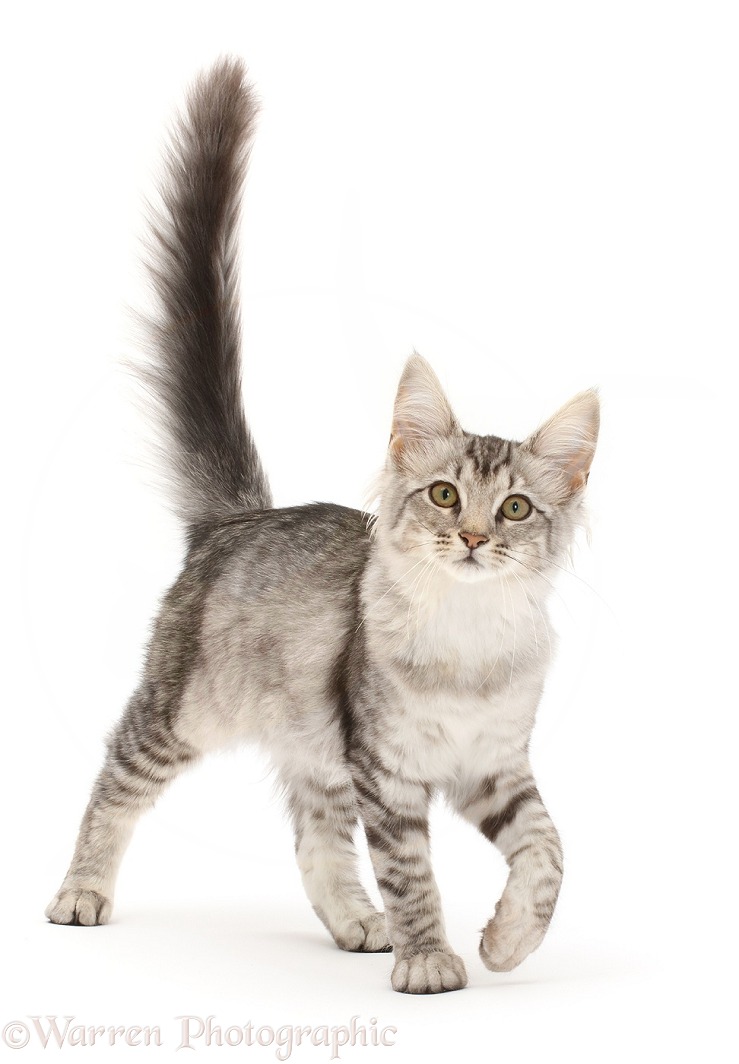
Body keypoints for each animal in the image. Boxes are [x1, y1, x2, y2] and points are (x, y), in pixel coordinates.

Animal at [46, 56, 599, 995]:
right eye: (444, 496)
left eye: (516, 508)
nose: (473, 540)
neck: (467, 639)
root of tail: (241, 515)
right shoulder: (388, 771)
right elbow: (413, 873)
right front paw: (430, 959)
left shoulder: (493, 770)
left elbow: (549, 854)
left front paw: (508, 941)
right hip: (184, 707)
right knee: (116, 774)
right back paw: (82, 890)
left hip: (314, 740)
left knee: (311, 839)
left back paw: (353, 922)